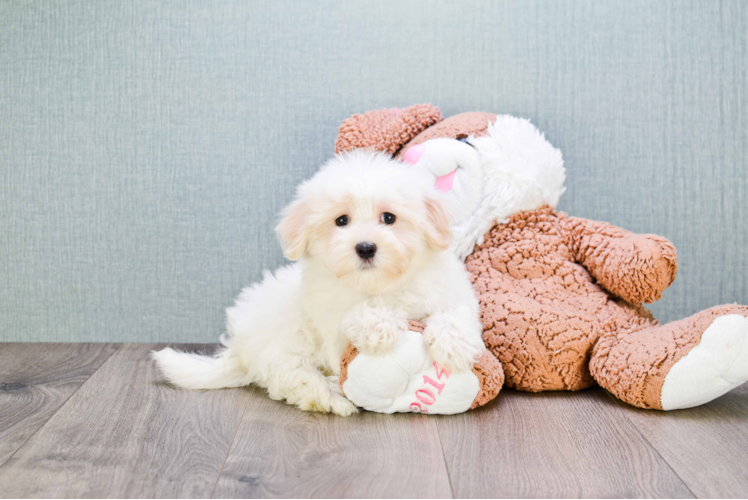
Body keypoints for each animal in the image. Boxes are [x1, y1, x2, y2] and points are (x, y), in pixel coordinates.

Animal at [155, 150, 488, 416]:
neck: (380, 285)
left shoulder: (451, 290)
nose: (365, 247)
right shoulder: (332, 325)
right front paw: (378, 325)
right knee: (293, 376)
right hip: (284, 338)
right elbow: (355, 318)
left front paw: (454, 345)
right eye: (341, 221)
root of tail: (239, 350)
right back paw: (331, 396)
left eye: (389, 218)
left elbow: (456, 312)